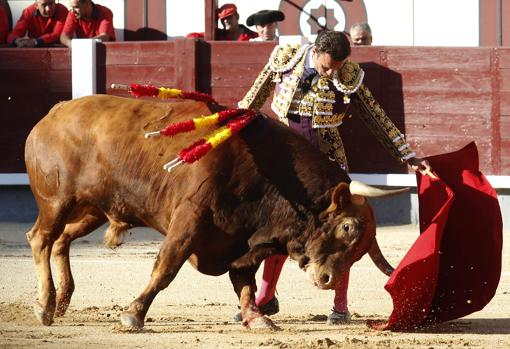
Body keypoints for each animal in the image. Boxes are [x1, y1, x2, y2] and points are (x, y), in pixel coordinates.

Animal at [24, 95, 402, 328]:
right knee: (40, 238)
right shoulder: (189, 219)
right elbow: (166, 268)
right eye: (348, 227)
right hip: (58, 201)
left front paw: (257, 318)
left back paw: (60, 302)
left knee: (62, 241)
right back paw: (43, 306)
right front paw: (133, 314)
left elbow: (245, 280)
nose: (327, 279)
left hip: (93, 209)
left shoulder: (242, 239)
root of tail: (52, 114)